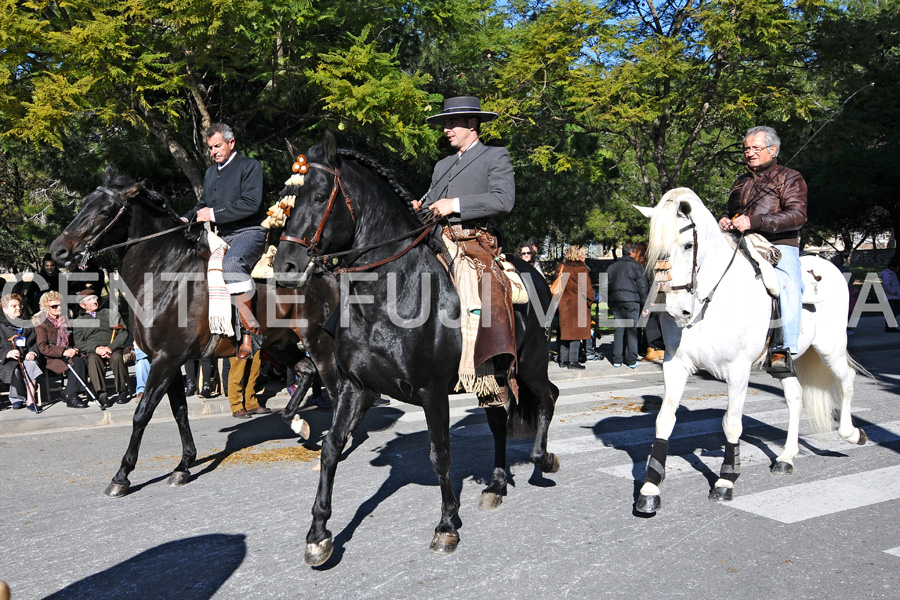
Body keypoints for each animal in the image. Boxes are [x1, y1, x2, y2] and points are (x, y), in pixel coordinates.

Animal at [51, 168, 342, 496]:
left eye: (103, 211)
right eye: (83, 204)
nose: (58, 250)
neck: (166, 276)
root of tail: (325, 272)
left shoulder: (166, 360)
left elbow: (142, 414)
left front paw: (122, 476)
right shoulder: (169, 361)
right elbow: (179, 412)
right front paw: (184, 465)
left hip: (318, 342)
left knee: (334, 387)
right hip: (279, 343)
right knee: (306, 372)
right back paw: (296, 422)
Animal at [274, 132, 560, 568]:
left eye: (321, 195)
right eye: (289, 199)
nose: (285, 266)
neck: (390, 293)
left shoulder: (431, 391)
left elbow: (439, 455)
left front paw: (446, 526)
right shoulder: (355, 387)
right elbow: (331, 448)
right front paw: (319, 534)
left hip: (530, 364)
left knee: (548, 397)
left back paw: (543, 459)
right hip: (493, 376)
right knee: (500, 421)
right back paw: (495, 484)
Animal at [628, 190, 868, 512]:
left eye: (688, 245)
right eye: (656, 249)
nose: (678, 310)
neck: (710, 301)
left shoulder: (737, 371)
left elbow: (731, 423)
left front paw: (726, 480)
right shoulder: (675, 366)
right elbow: (664, 421)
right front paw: (650, 488)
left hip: (831, 348)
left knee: (847, 381)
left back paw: (852, 433)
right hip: (784, 362)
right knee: (795, 397)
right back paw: (786, 457)